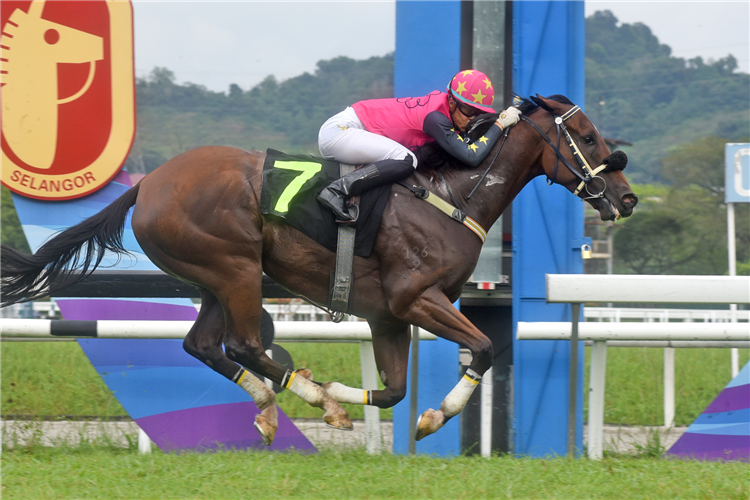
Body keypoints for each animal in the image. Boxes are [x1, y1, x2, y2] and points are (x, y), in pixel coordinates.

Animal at [0, 94, 640, 446]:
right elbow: (482, 348)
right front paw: (433, 416)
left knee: (205, 345)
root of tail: (148, 184)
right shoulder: (415, 299)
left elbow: (393, 390)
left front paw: (382, 404)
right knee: (244, 344)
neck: (452, 194)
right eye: (587, 137)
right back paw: (303, 396)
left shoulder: (388, 316)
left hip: (217, 277)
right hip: (234, 268)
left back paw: (271, 406)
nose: (628, 198)